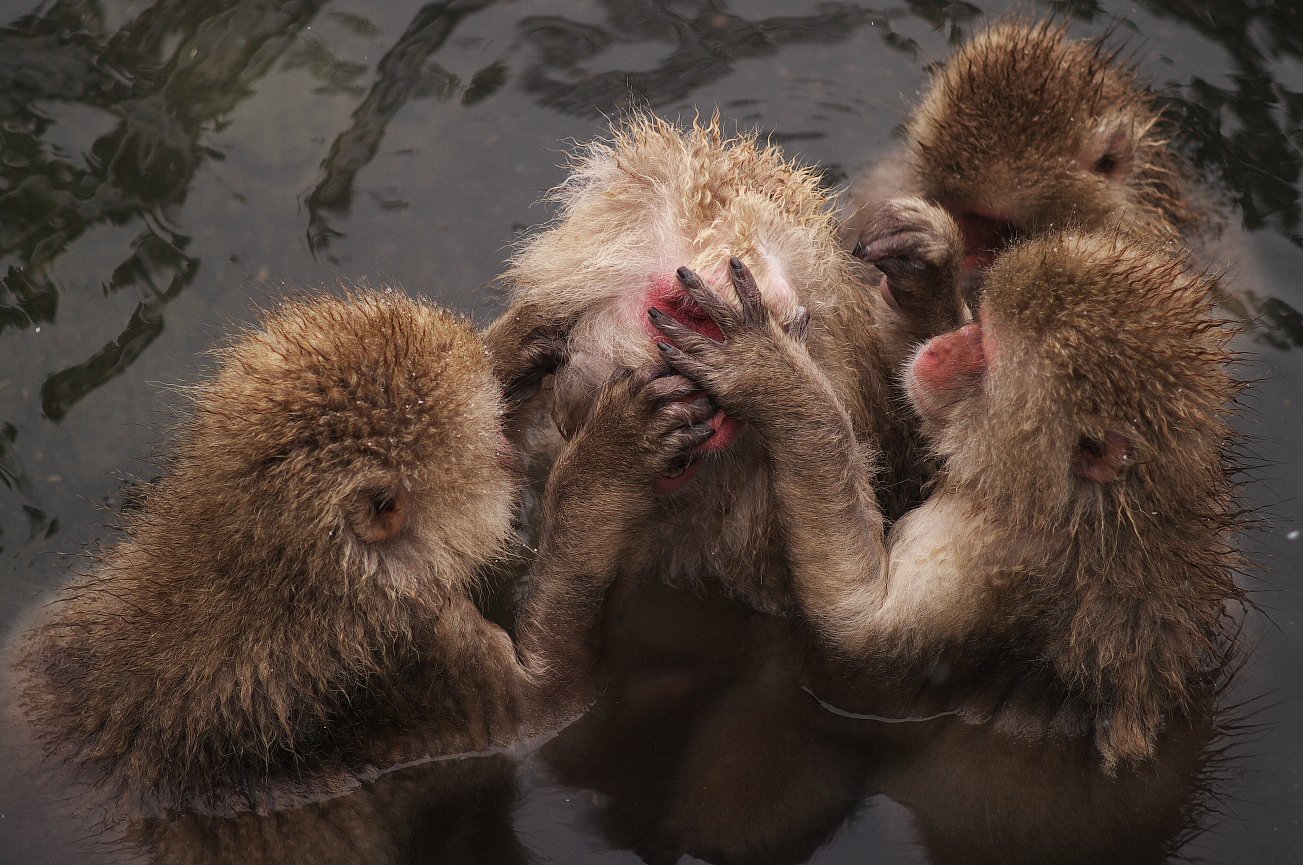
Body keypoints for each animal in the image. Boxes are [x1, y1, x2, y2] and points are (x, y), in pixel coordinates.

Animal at [16, 287, 714, 814]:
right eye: (497, 451)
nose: (514, 464)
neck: (272, 576)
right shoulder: (411, 664)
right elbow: (548, 706)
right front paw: (612, 455)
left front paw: (509, 349)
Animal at [647, 223, 1243, 770]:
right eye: (977, 324)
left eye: (986, 350)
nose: (944, 347)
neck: (1079, 503)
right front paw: (927, 271)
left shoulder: (991, 555)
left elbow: (857, 630)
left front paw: (773, 377)